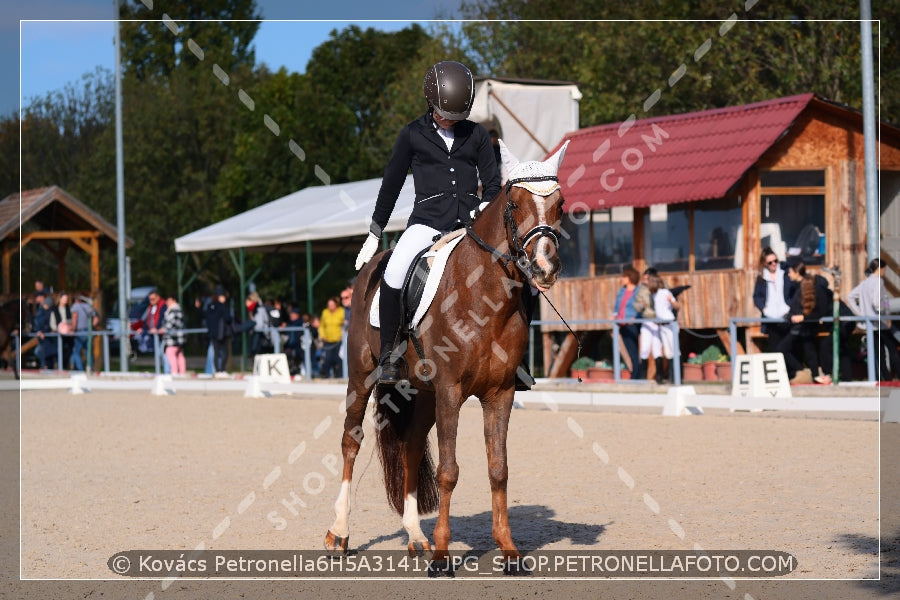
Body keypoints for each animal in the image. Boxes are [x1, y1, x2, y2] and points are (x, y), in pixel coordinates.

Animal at [326, 139, 568, 564]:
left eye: (561, 204)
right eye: (515, 203)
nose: (544, 266)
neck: (484, 297)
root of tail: (372, 269)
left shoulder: (499, 393)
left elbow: (498, 468)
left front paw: (508, 549)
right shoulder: (452, 391)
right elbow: (449, 471)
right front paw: (443, 554)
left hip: (423, 393)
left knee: (409, 446)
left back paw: (414, 535)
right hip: (362, 375)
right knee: (350, 439)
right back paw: (339, 533)